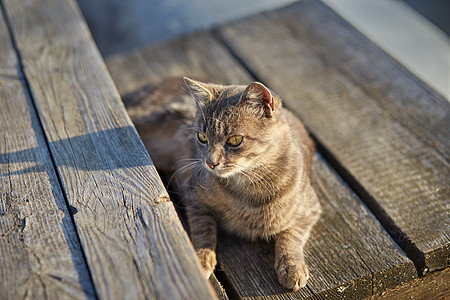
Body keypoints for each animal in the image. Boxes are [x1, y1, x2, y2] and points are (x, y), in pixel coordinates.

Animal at [122, 77, 320, 290]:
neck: (248, 186)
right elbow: (204, 229)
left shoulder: (310, 208)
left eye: (235, 140)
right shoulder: (195, 198)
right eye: (202, 137)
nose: (210, 162)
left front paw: (292, 267)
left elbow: (291, 236)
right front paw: (201, 259)